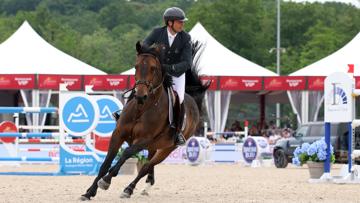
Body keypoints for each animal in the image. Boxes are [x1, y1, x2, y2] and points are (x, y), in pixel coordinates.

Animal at [81, 40, 208, 200]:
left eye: (153, 68)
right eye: (136, 66)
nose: (141, 96)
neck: (141, 109)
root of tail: (192, 100)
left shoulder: (143, 140)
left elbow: (126, 154)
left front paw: (106, 181)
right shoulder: (118, 134)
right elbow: (105, 163)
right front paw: (89, 192)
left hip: (167, 148)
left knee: (146, 167)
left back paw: (129, 189)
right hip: (154, 146)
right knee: (148, 167)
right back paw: (146, 186)